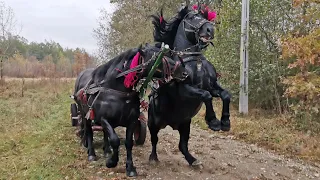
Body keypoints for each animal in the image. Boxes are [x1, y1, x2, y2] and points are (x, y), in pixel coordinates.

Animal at [72, 44, 188, 176]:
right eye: (160, 57)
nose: (184, 72)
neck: (116, 91)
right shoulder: (103, 119)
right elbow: (115, 140)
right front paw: (111, 162)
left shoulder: (131, 121)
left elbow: (128, 143)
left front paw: (130, 168)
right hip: (84, 114)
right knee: (89, 131)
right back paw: (91, 153)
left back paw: (107, 151)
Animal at [148, 4, 232, 167]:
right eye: (192, 17)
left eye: (204, 16)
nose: (210, 29)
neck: (193, 60)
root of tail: (170, 124)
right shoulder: (185, 90)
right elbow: (206, 96)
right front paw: (213, 121)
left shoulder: (212, 86)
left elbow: (225, 94)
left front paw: (225, 122)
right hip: (153, 123)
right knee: (154, 140)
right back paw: (153, 158)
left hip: (185, 125)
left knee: (182, 145)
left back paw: (193, 160)